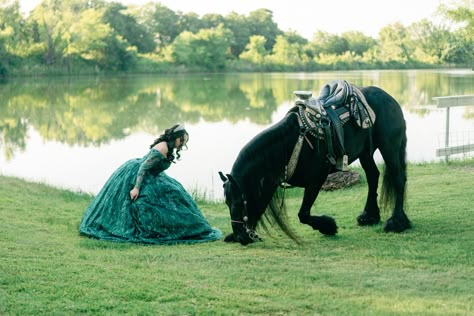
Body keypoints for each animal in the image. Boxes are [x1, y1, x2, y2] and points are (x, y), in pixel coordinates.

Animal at [220, 80, 410, 246]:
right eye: (227, 203)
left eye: (240, 203)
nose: (241, 237)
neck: (290, 144)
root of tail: (389, 98)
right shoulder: (273, 182)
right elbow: (265, 207)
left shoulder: (316, 180)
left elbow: (303, 215)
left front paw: (329, 226)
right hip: (365, 153)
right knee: (373, 176)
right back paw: (369, 217)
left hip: (389, 147)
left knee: (398, 179)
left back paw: (397, 222)